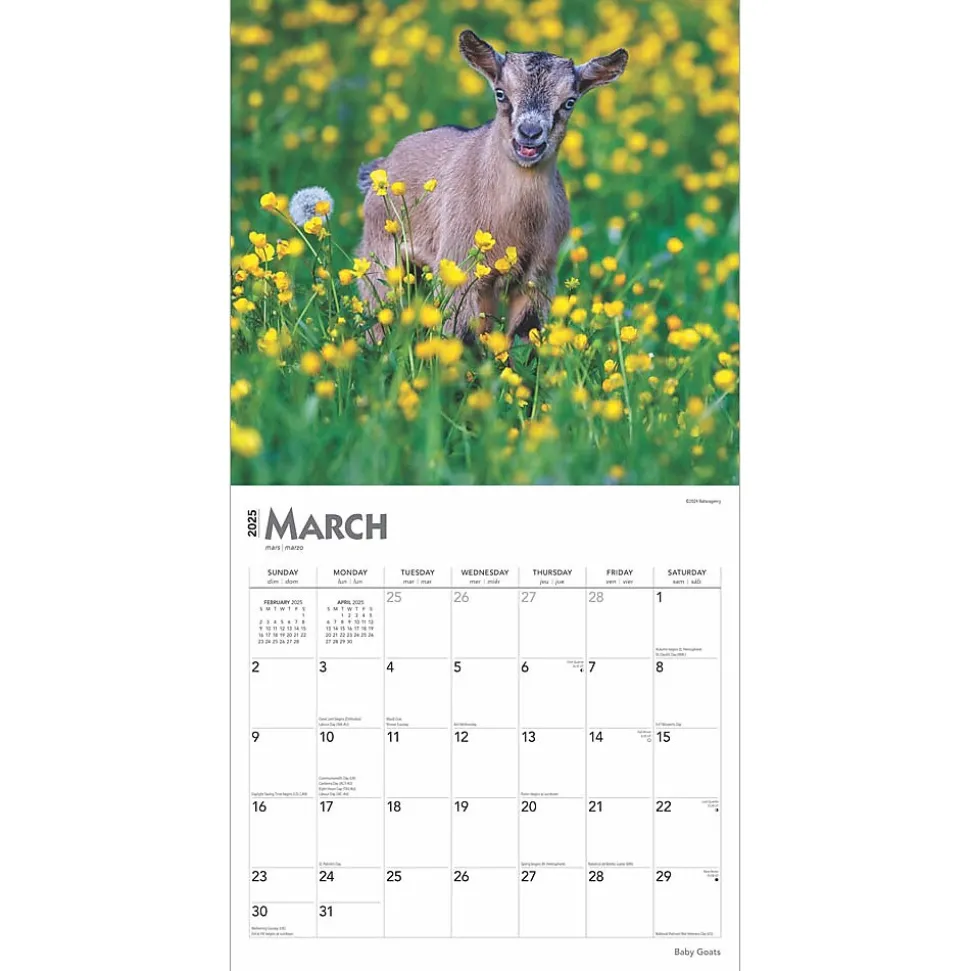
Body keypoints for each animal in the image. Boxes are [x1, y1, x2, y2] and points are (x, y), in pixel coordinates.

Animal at [294, 30, 627, 342]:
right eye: (501, 93)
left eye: (569, 101)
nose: (529, 133)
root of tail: (379, 167)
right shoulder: (458, 266)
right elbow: (461, 338)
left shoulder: (539, 276)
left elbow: (524, 339)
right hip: (383, 259)